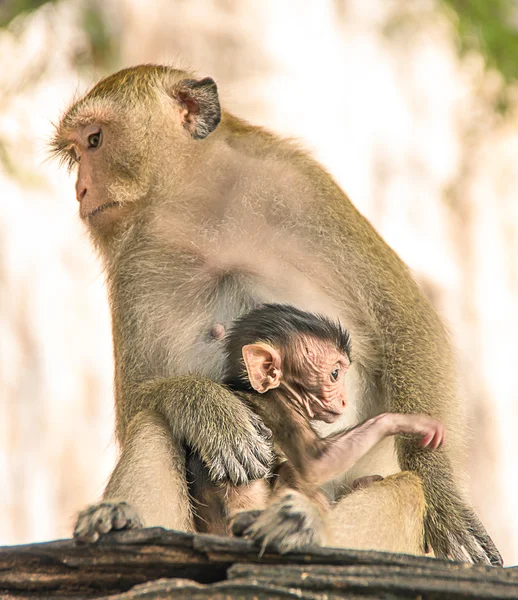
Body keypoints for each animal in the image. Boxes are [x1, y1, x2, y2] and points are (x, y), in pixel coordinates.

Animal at [189, 304, 444, 552]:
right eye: (334, 374)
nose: (344, 400)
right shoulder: (281, 410)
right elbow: (315, 462)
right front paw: (404, 421)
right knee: (290, 470)